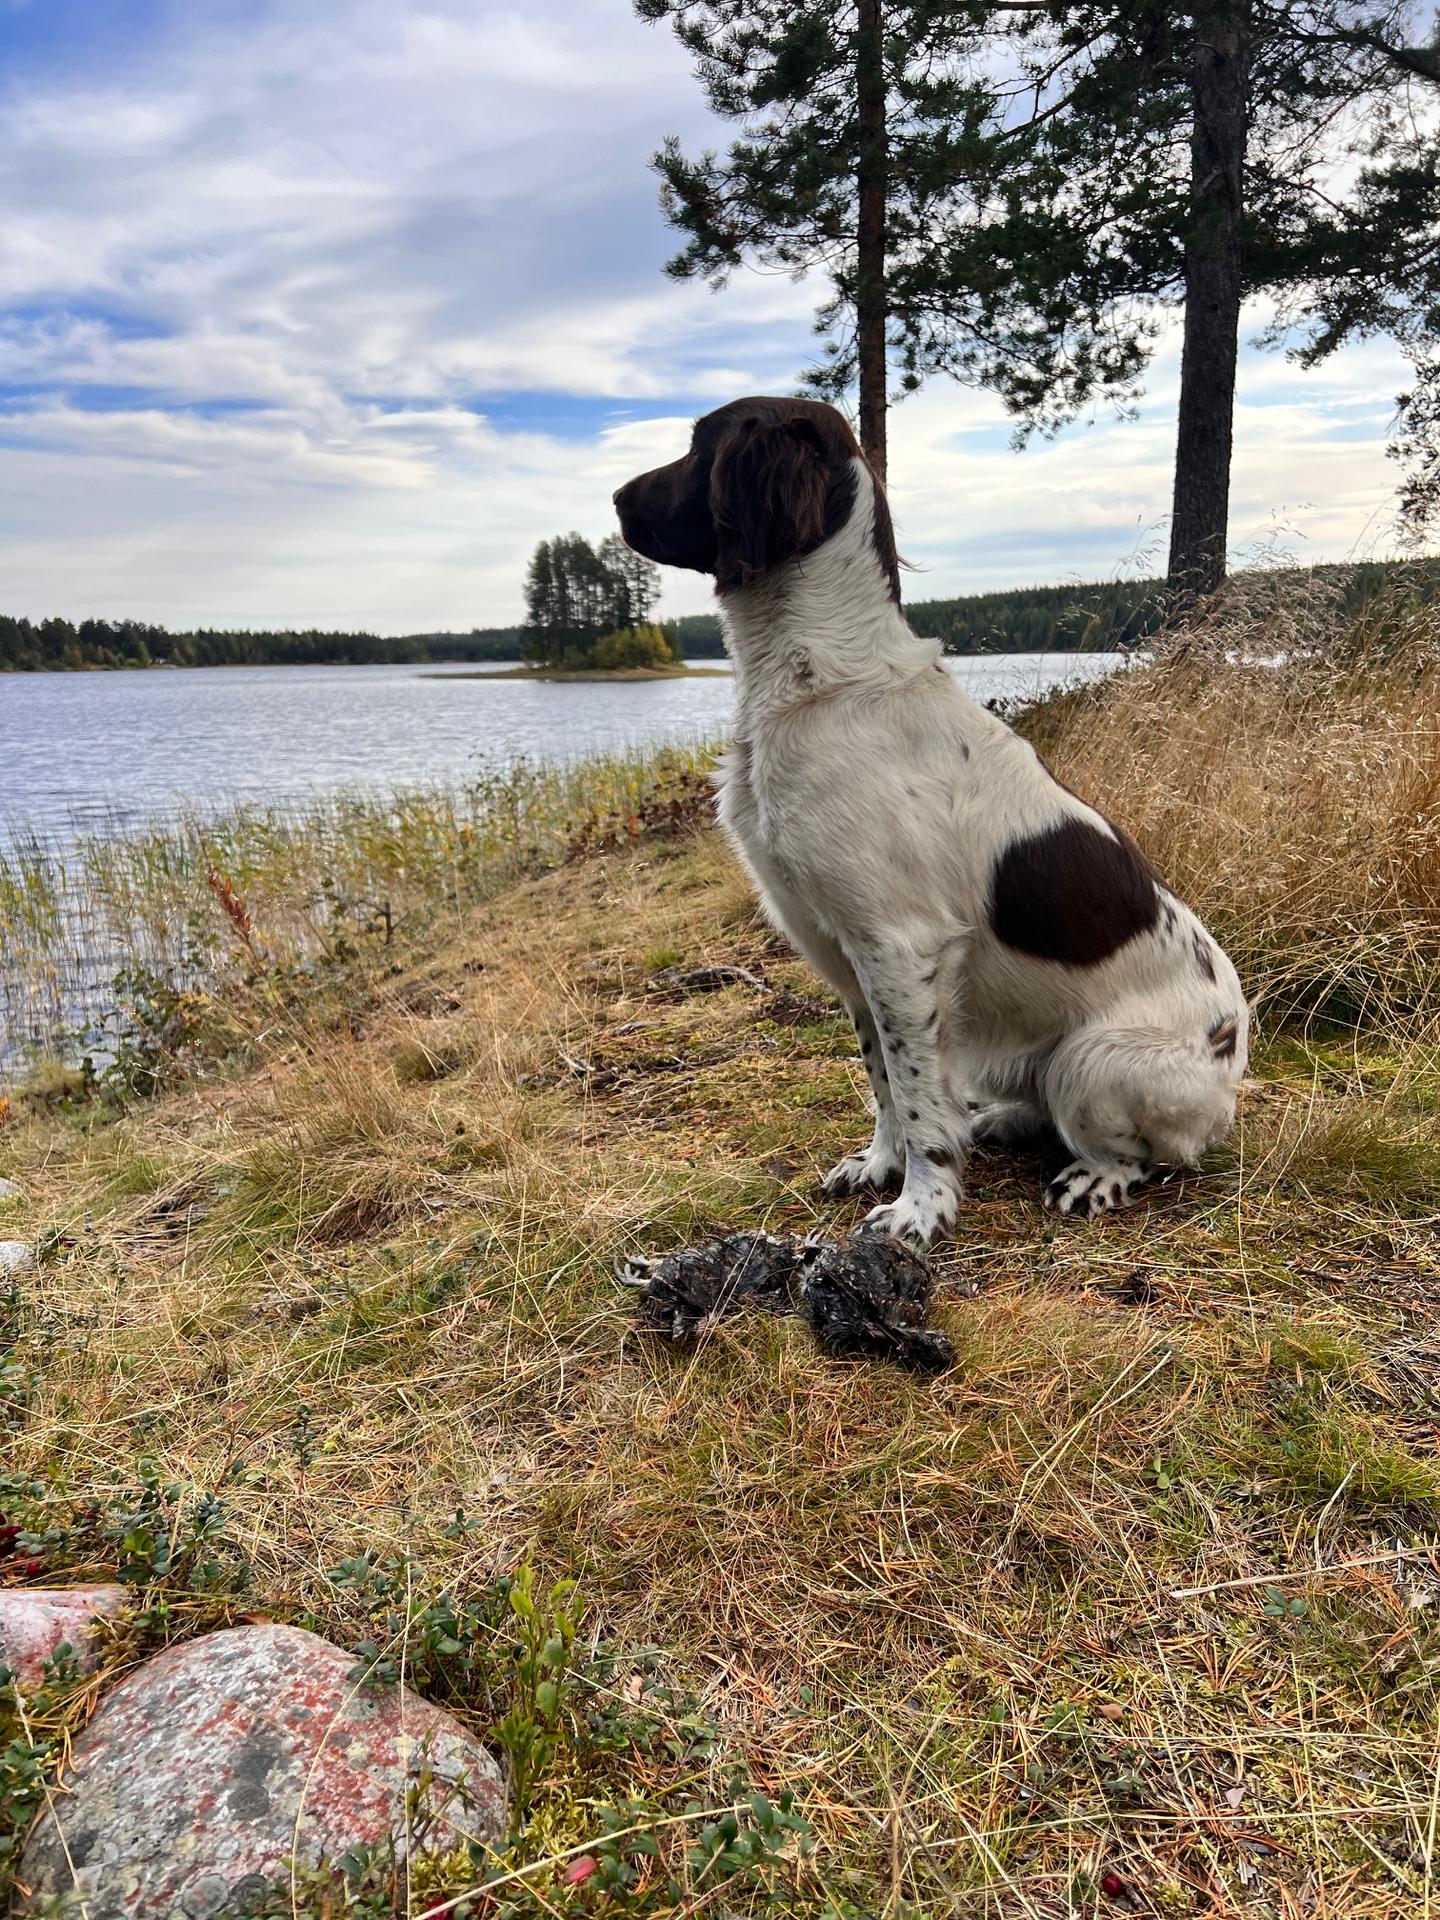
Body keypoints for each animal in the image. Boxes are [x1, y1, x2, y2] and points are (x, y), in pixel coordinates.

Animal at [614, 397, 1244, 1251]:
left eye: (696, 447)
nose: (615, 498)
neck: (818, 682)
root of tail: (1236, 1069)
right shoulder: (846, 949)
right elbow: (883, 1077)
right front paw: (881, 1165)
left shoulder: (899, 946)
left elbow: (915, 1096)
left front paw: (920, 1206)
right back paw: (1000, 1119)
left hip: (1090, 1060)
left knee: (1144, 1152)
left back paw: (1092, 1176)